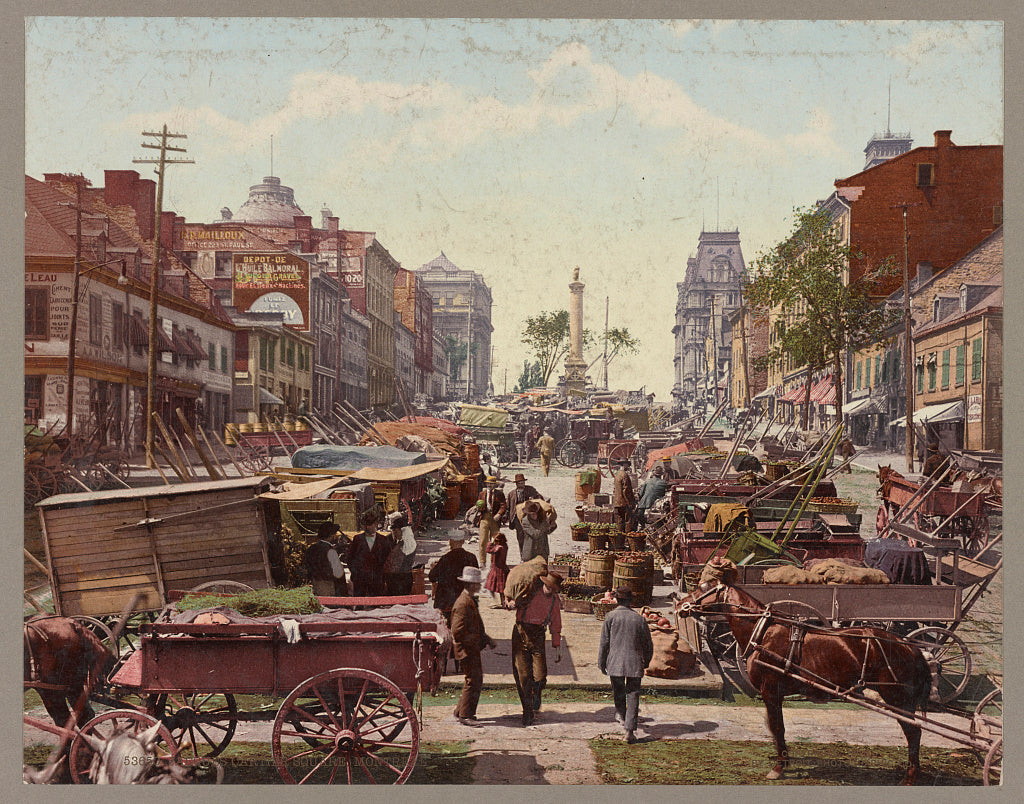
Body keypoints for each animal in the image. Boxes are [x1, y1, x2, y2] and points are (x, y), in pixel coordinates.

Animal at [675, 561, 933, 782]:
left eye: (703, 587)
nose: (679, 605)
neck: (763, 632)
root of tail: (911, 647)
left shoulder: (771, 691)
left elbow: (777, 727)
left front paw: (779, 767)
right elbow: (775, 728)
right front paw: (783, 761)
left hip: (898, 698)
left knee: (913, 732)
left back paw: (910, 776)